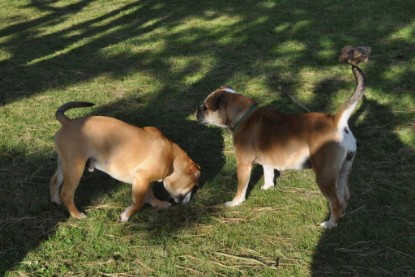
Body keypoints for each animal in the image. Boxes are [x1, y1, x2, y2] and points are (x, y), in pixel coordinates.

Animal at [50, 102, 202, 221]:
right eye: (194, 185)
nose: (191, 198)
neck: (172, 158)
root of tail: (67, 122)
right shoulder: (142, 179)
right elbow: (139, 202)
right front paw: (126, 216)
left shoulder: (144, 180)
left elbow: (150, 194)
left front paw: (158, 204)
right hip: (75, 167)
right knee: (67, 192)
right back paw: (77, 215)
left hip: (64, 164)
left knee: (54, 180)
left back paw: (55, 200)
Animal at [198, 46, 370, 227]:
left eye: (205, 107)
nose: (197, 110)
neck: (243, 114)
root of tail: (336, 120)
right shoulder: (267, 159)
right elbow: (268, 172)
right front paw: (267, 187)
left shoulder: (243, 164)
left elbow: (241, 187)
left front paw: (235, 202)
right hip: (344, 170)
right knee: (345, 197)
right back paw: (341, 215)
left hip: (325, 176)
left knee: (336, 201)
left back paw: (330, 224)